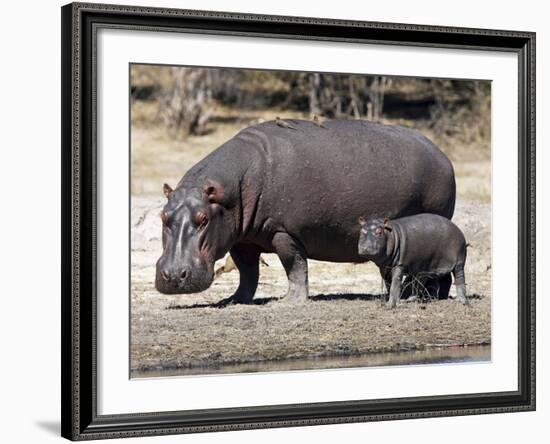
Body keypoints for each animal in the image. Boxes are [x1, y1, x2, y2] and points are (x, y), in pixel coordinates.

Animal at [155, 119, 458, 304]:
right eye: (163, 216)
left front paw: (288, 302)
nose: (173, 276)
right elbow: (247, 272)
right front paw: (233, 300)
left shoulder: (283, 232)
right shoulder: (241, 238)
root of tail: (443, 156)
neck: (228, 191)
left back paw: (426, 297)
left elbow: (295, 266)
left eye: (203, 219)